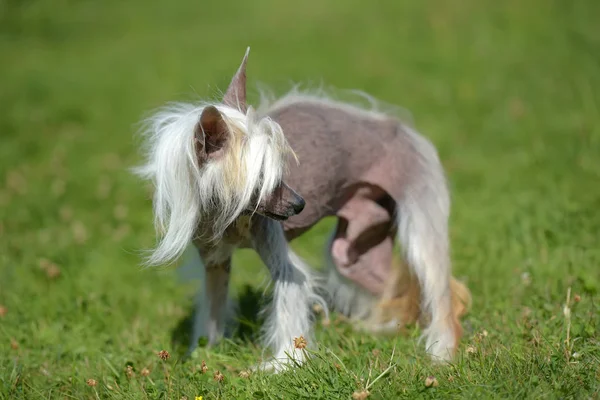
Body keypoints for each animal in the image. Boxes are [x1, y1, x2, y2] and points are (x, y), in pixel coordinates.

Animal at [134, 49, 472, 372]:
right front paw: (205, 353)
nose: (300, 204)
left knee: (442, 292)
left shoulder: (283, 262)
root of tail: (401, 128)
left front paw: (283, 364)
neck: (224, 216)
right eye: (261, 177)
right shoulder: (215, 264)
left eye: (281, 168)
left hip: (420, 223)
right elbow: (213, 310)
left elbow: (289, 307)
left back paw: (441, 353)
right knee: (400, 285)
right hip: (353, 253)